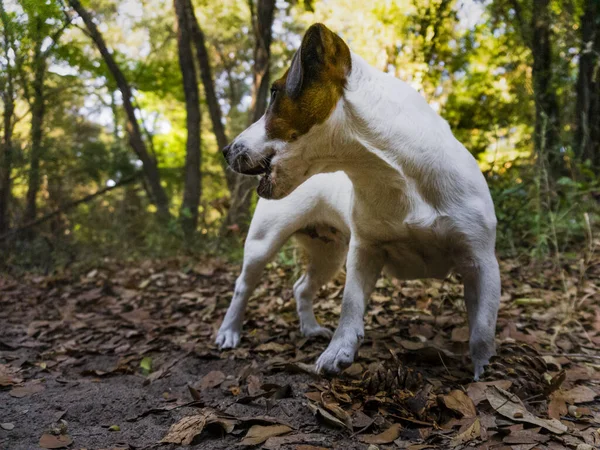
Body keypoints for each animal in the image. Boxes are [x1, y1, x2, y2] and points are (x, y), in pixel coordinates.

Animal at [218, 22, 500, 378]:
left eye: (274, 93)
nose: (226, 150)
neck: (391, 171)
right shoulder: (365, 251)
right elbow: (350, 304)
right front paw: (339, 351)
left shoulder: (481, 262)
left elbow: (483, 328)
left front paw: (484, 371)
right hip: (263, 243)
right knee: (243, 287)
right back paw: (229, 331)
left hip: (329, 254)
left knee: (302, 287)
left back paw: (310, 328)